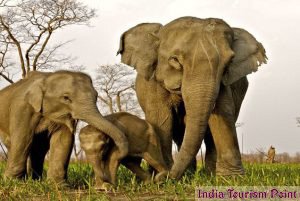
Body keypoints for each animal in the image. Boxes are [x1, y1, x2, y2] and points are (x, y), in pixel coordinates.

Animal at [117, 16, 268, 178]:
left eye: (229, 62)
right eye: (175, 60)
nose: (165, 176)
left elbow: (223, 114)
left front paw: (231, 179)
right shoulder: (153, 81)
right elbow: (161, 119)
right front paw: (159, 175)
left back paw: (207, 174)